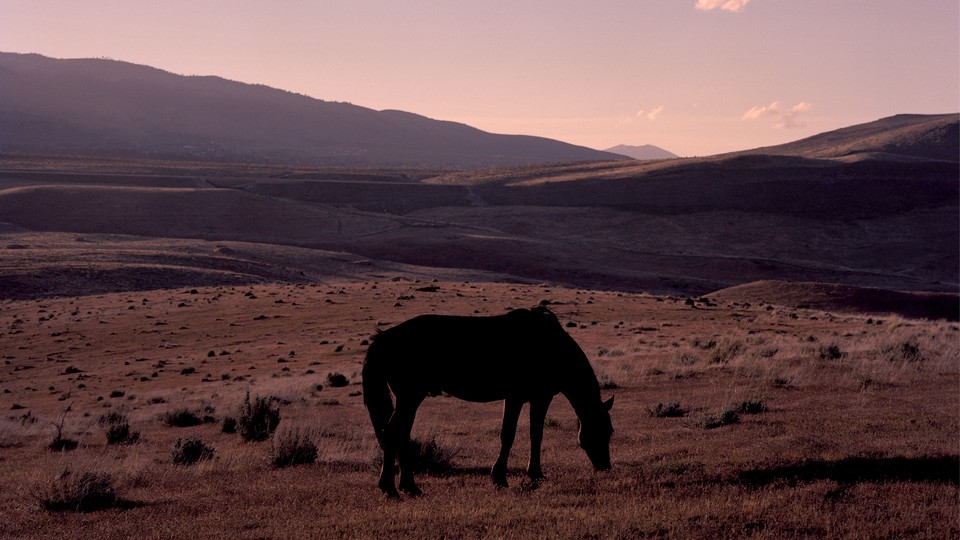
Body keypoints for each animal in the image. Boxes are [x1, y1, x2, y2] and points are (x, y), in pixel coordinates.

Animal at [362, 304, 614, 498]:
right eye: (603, 430)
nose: (605, 467)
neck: (551, 347)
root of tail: (382, 339)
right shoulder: (515, 398)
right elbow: (508, 435)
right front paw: (499, 477)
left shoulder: (540, 399)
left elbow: (536, 434)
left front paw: (536, 474)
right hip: (410, 396)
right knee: (392, 433)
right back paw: (391, 488)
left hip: (409, 399)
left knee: (401, 435)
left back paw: (408, 487)